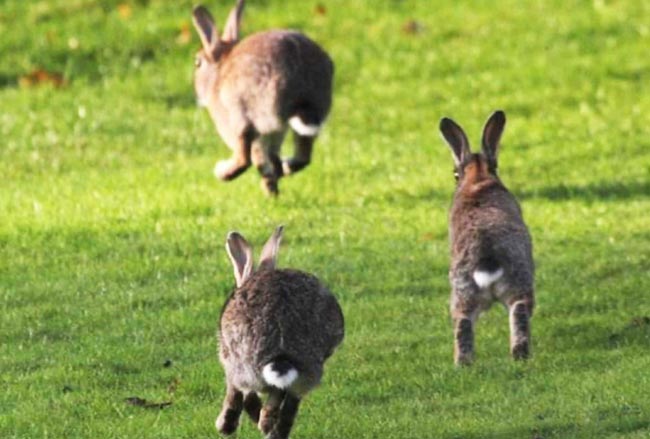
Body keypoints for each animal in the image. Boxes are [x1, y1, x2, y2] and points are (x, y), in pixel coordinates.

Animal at [191, 1, 334, 196]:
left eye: (198, 63)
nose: (197, 93)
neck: (218, 73)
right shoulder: (273, 132)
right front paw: (273, 184)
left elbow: (256, 158)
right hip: (304, 117)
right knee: (302, 156)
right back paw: (283, 171)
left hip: (243, 113)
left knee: (244, 159)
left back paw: (223, 172)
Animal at [217, 225, 344, 439]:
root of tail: (281, 344)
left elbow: (236, 394)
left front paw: (226, 426)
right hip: (308, 368)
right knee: (289, 401)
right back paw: (272, 428)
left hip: (242, 362)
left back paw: (259, 422)